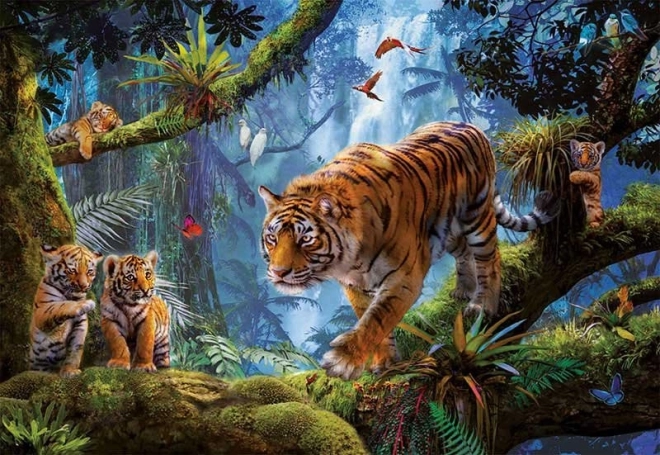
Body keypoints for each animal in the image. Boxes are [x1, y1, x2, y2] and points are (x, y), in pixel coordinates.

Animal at [29, 244, 103, 377]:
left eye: (89, 272)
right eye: (72, 270)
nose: (84, 286)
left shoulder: (80, 324)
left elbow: (75, 350)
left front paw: (70, 370)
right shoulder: (41, 312)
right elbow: (60, 306)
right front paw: (85, 304)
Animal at [258, 121, 560, 380]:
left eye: (305, 239)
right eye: (272, 237)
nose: (278, 272)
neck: (351, 261)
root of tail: (471, 126)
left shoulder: (403, 278)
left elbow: (377, 319)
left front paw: (344, 360)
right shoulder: (355, 286)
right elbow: (374, 322)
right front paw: (384, 363)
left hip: (477, 216)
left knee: (490, 258)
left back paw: (482, 305)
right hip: (445, 229)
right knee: (463, 252)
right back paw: (463, 290)